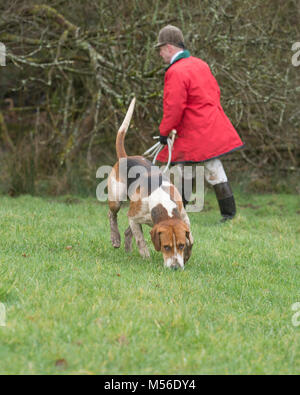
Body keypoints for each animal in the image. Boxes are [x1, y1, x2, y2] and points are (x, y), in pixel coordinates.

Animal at [106, 99, 193, 272]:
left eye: (180, 245)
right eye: (166, 247)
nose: (175, 268)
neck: (163, 205)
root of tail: (125, 157)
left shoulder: (184, 218)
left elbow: (191, 240)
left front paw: (186, 255)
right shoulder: (133, 217)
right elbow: (140, 239)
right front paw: (146, 256)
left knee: (128, 231)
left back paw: (127, 249)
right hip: (116, 200)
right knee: (112, 215)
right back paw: (115, 238)